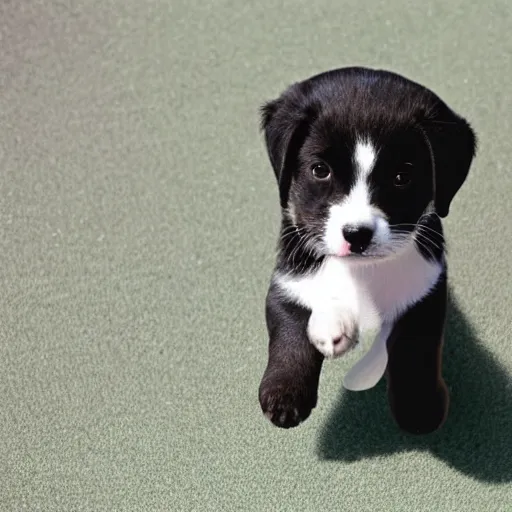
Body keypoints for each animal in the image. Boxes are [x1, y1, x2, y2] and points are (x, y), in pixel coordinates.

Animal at [258, 67, 478, 436]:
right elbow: (290, 332)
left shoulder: (426, 293)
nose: (356, 235)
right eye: (320, 170)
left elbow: (415, 351)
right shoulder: (288, 280)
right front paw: (285, 391)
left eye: (402, 177)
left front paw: (418, 406)